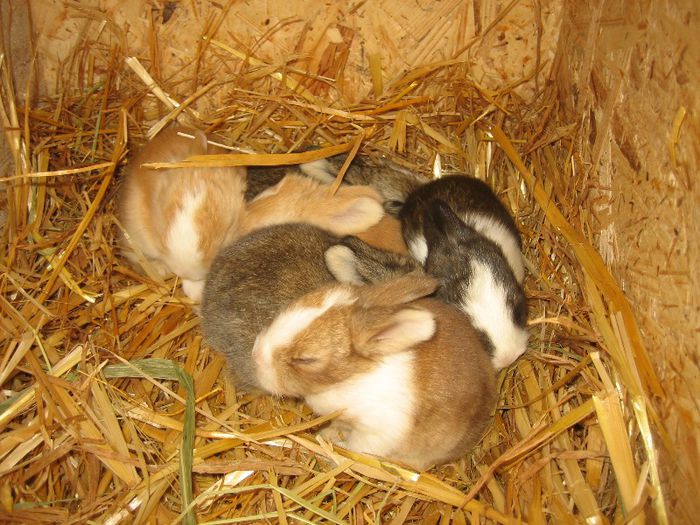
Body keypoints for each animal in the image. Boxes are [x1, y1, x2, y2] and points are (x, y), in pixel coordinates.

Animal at [252, 272, 498, 468]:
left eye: (305, 359)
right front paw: (326, 435)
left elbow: (357, 447)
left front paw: (334, 452)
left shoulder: (379, 431)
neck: (352, 377)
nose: (256, 354)